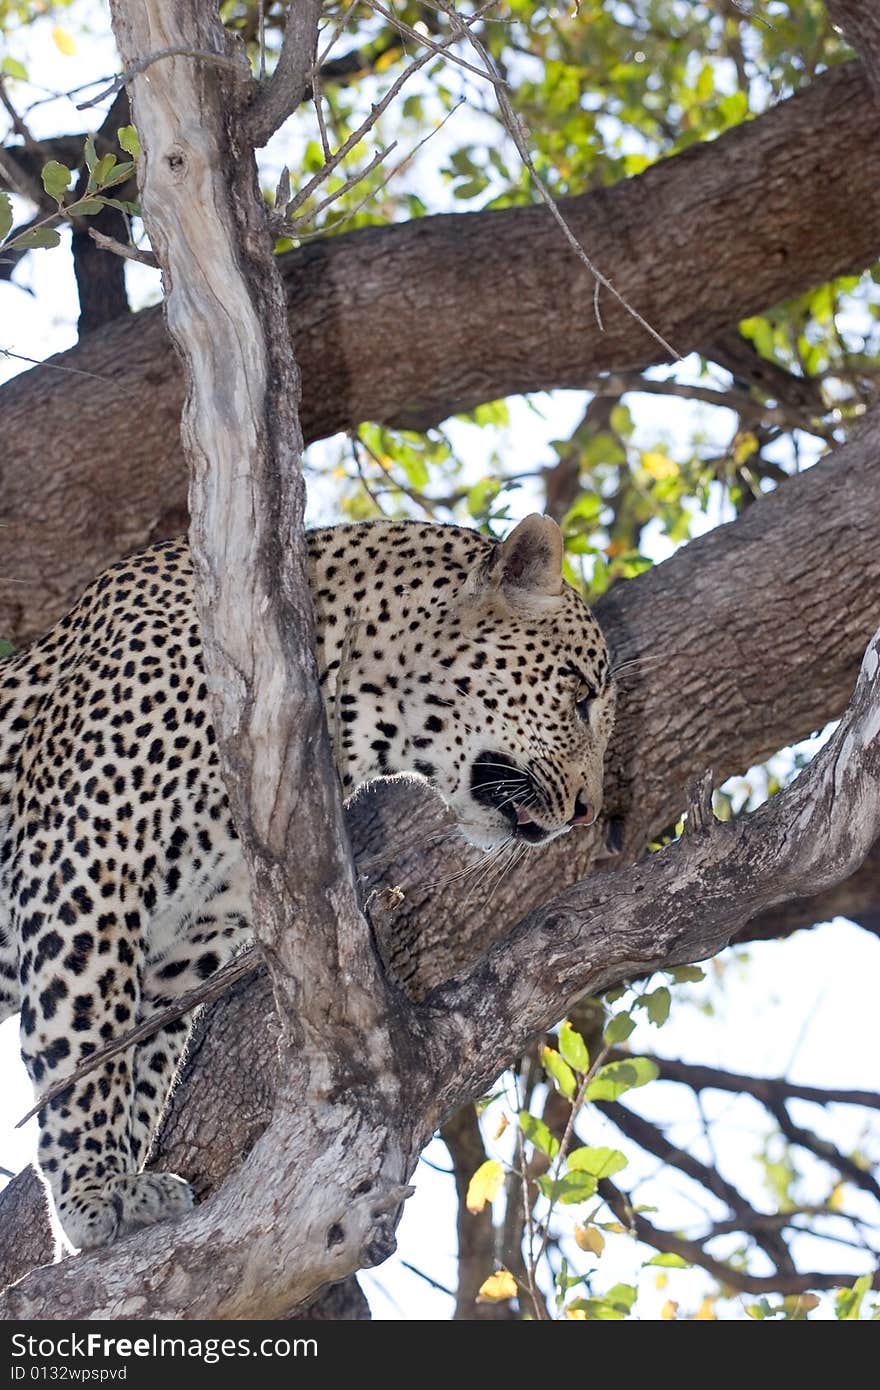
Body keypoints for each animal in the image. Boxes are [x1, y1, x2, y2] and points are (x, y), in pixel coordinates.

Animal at [0, 511, 614, 1251]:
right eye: (578, 694)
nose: (586, 812)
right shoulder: (86, 855)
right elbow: (84, 1041)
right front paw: (92, 1193)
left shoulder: (190, 941)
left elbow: (144, 1060)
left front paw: (120, 1188)